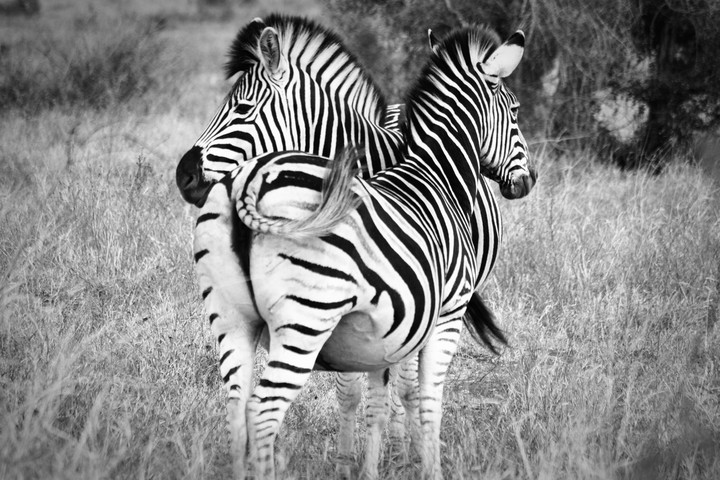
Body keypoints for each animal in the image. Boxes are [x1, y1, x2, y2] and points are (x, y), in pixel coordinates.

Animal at [198, 24, 535, 479]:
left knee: (236, 405)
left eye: (241, 108)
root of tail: (247, 185)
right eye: (515, 111)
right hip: (304, 319)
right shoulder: (445, 313)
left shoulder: (384, 324)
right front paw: (419, 463)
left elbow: (380, 397)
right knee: (262, 410)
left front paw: (378, 462)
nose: (529, 179)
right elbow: (426, 400)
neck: (432, 171)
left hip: (231, 318)